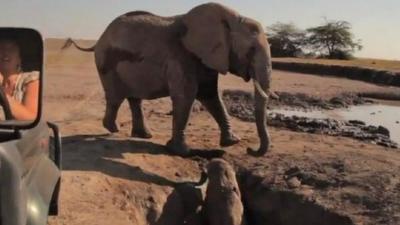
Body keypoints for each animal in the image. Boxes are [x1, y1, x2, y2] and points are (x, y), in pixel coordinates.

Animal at [64, 2, 274, 156]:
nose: (250, 149)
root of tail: (98, 40)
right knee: (116, 97)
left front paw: (231, 142)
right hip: (106, 62)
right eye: (251, 50)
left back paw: (143, 135)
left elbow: (211, 96)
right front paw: (181, 151)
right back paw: (113, 129)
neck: (232, 18)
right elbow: (186, 96)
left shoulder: (205, 58)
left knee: (134, 98)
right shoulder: (180, 56)